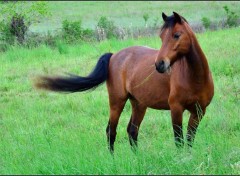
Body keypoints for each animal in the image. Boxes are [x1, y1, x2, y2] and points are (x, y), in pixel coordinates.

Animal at [34, 12, 214, 153]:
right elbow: (179, 140)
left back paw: (137, 159)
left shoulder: (198, 112)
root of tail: (114, 55)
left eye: (176, 35)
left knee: (132, 131)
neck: (194, 77)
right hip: (117, 102)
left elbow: (189, 139)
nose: (159, 64)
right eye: (162, 37)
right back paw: (112, 160)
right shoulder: (176, 109)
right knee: (111, 131)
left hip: (138, 103)